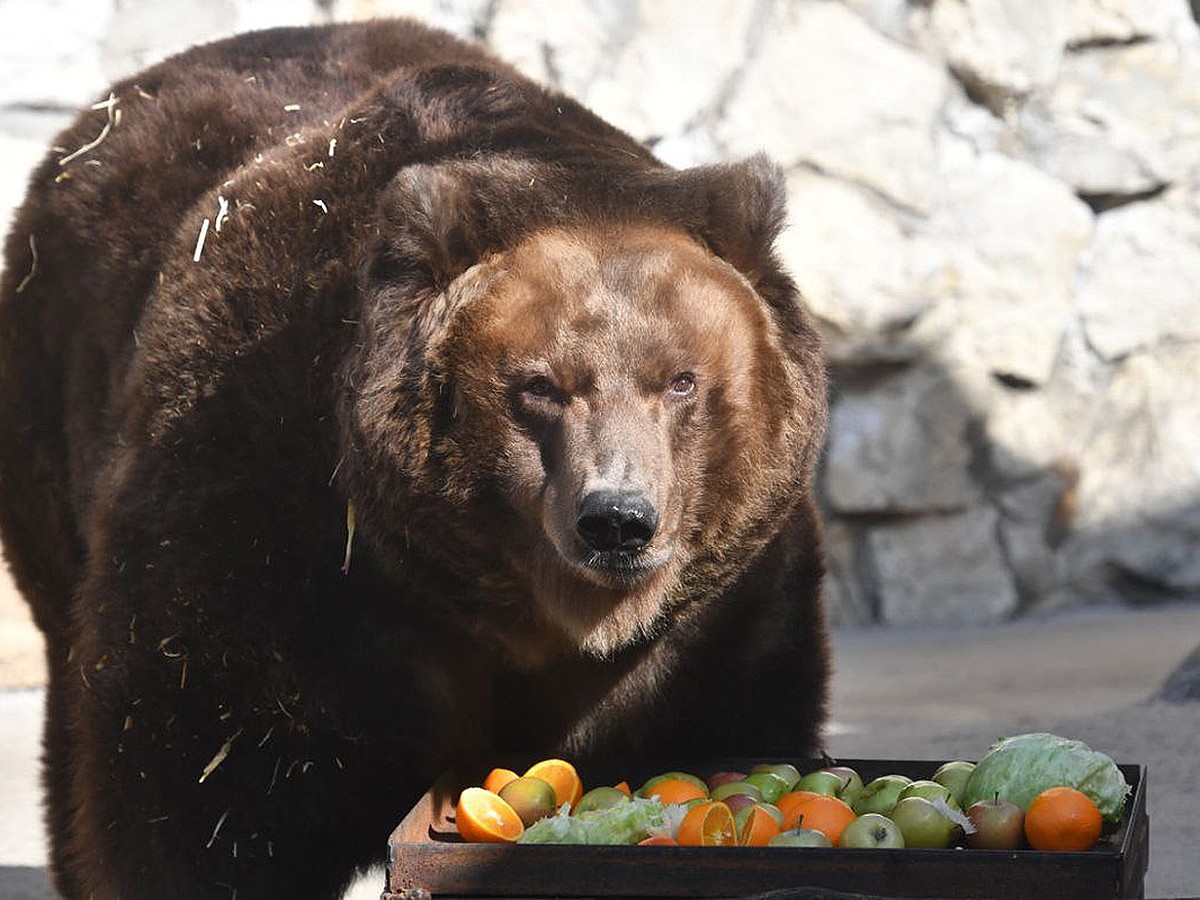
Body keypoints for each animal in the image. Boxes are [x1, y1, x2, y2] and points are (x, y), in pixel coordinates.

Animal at [0, 15, 825, 900]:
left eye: (680, 380)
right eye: (539, 385)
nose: (617, 520)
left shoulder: (713, 619)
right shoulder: (277, 533)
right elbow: (203, 787)